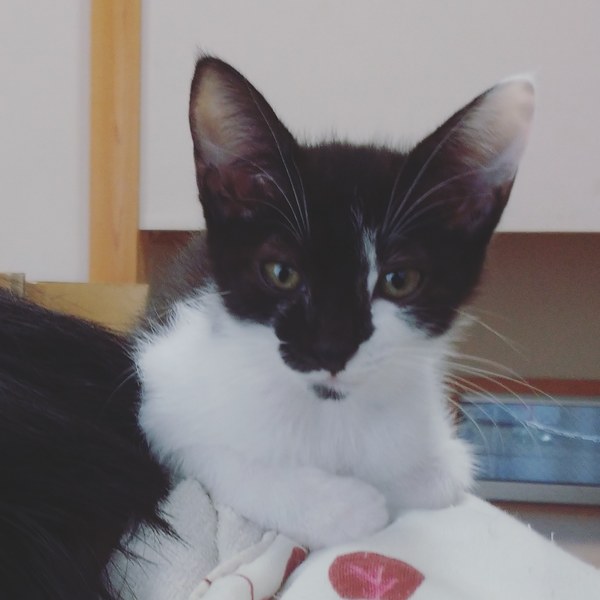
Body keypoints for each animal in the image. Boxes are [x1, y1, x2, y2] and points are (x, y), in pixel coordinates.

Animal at [0, 56, 533, 599]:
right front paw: (342, 506)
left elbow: (436, 478)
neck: (327, 416)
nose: (331, 348)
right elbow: (214, 457)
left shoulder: (439, 444)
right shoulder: (159, 401)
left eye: (399, 280)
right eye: (281, 273)